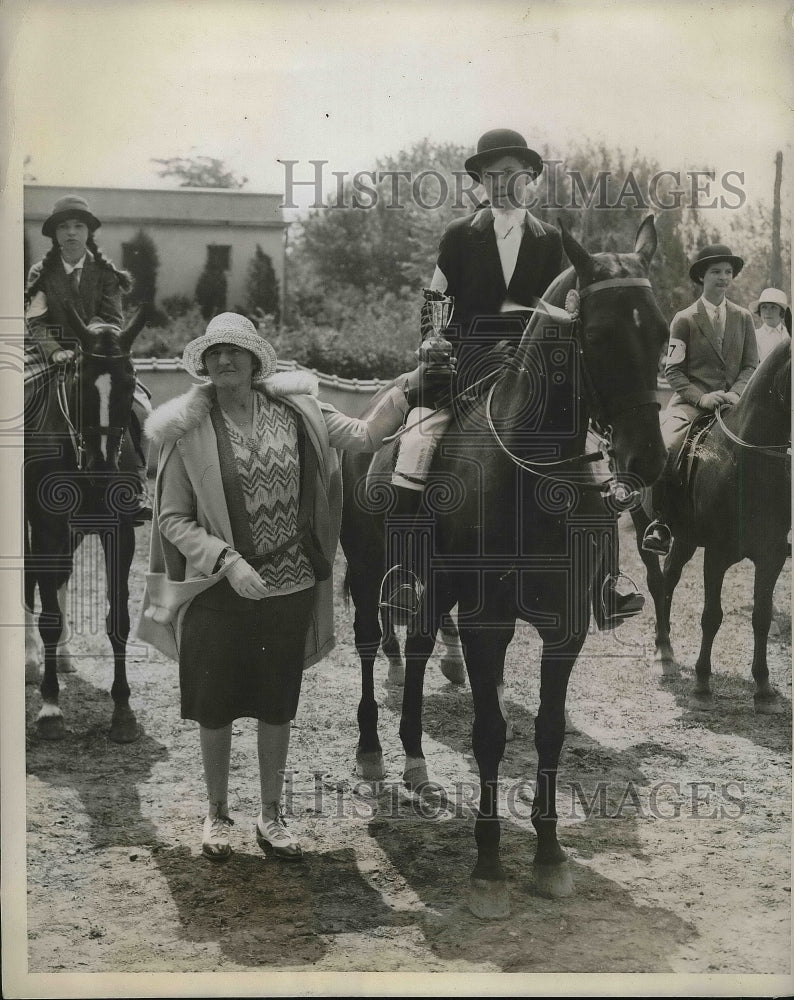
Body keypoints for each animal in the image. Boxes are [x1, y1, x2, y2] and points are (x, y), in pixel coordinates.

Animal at [24, 306, 147, 744]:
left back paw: (61, 658)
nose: (101, 470)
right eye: (79, 385)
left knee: (59, 578)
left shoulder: (121, 533)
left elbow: (119, 619)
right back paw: (32, 662)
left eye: (130, 382)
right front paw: (50, 709)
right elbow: (49, 616)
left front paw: (123, 712)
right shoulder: (46, 528)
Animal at [340, 217, 668, 916]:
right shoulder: (487, 621)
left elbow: (548, 731)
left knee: (418, 649)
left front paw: (548, 855)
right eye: (599, 335)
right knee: (369, 647)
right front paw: (489, 863)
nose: (648, 460)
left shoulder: (565, 625)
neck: (533, 476)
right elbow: (490, 732)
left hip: (434, 589)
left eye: (660, 333)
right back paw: (374, 754)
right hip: (367, 569)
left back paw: (415, 762)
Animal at [628, 340, 788, 708]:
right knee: (656, 580)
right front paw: (702, 683)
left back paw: (665, 646)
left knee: (669, 578)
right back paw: (663, 654)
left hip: (685, 538)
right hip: (643, 520)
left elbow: (761, 617)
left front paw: (763, 688)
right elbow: (712, 617)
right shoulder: (716, 555)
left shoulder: (772, 557)